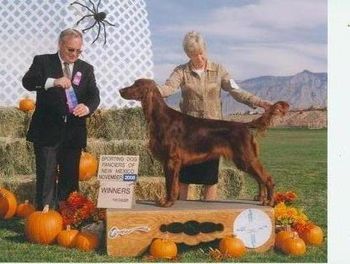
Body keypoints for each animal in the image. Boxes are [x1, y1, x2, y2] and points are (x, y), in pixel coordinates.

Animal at [119, 78, 288, 206]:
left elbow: (170, 184)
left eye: (135, 85)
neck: (161, 117)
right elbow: (172, 184)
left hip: (246, 158)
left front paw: (167, 202)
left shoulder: (171, 160)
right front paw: (170, 201)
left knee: (267, 178)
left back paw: (269, 201)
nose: (120, 90)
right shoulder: (171, 162)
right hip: (245, 161)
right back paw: (260, 198)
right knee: (260, 178)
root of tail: (244, 125)